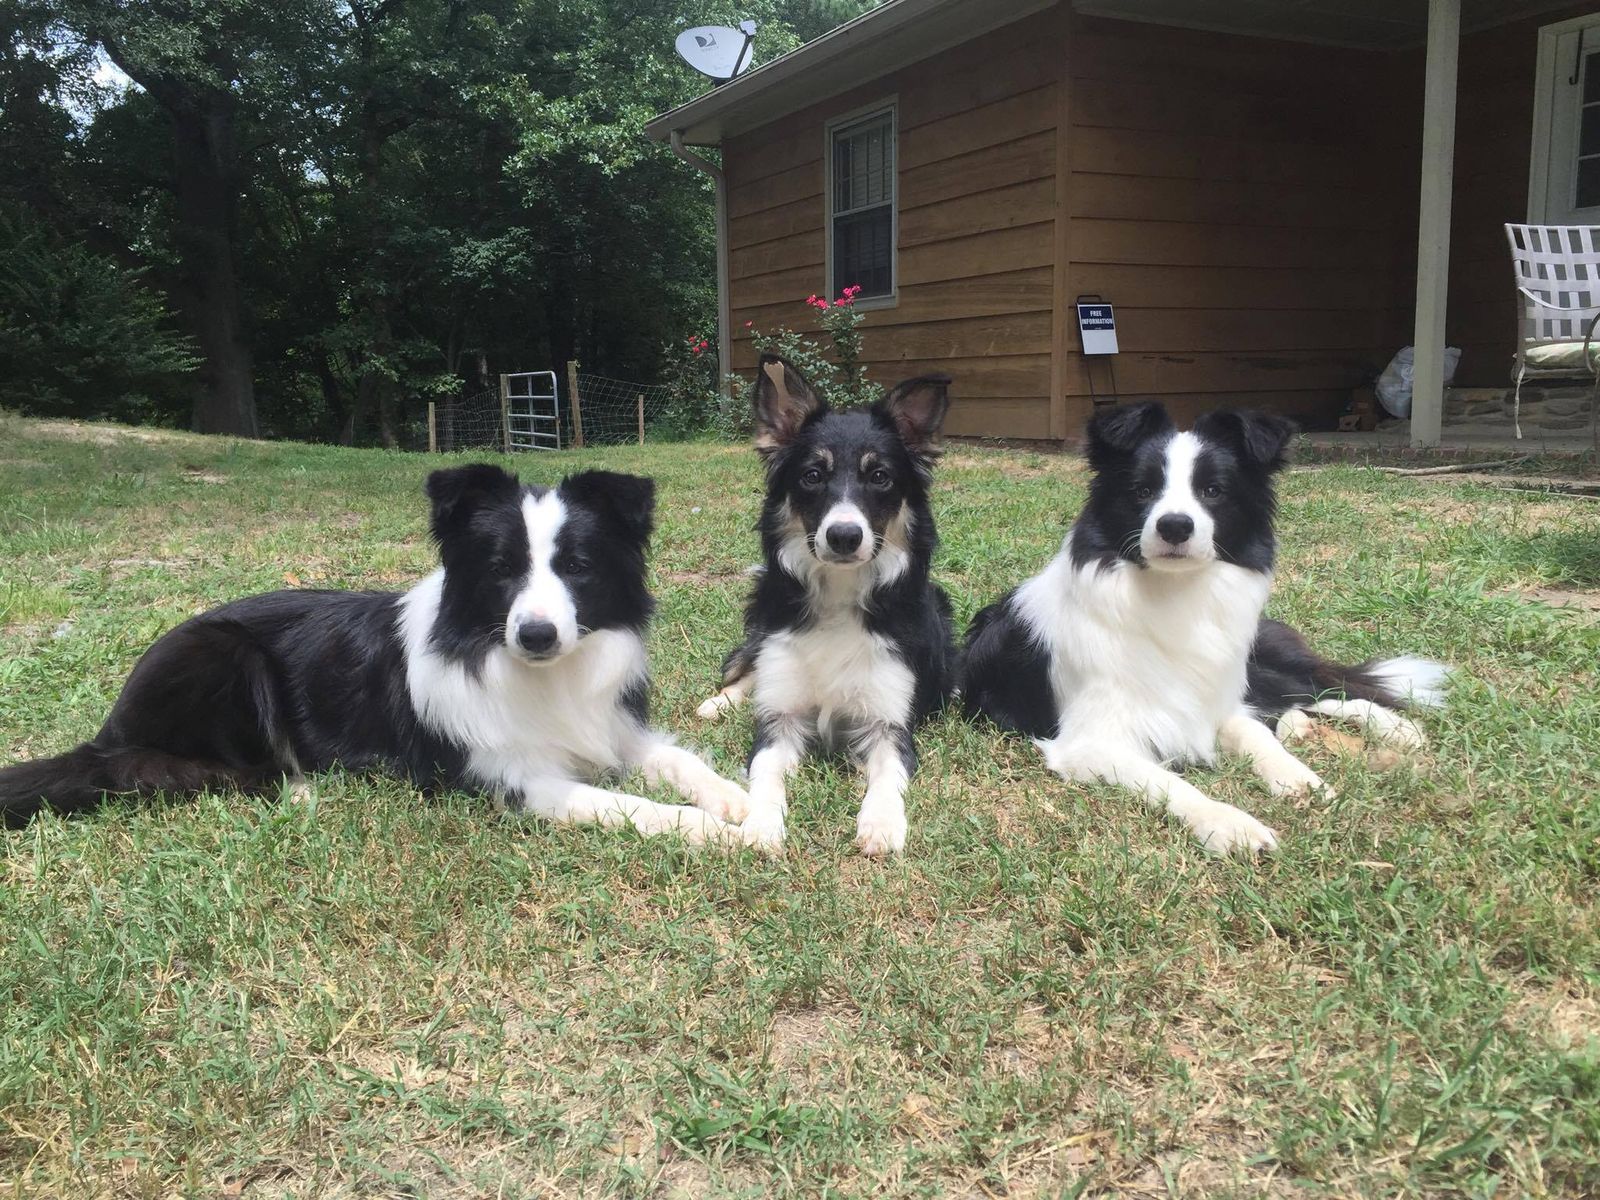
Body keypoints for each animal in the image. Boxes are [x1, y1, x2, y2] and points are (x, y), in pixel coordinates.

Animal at [0, 465, 753, 842]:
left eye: (578, 567)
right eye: (502, 570)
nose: (537, 635)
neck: (539, 674)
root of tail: (111, 726)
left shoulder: (611, 726)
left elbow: (678, 760)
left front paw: (738, 802)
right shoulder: (510, 777)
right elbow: (625, 805)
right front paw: (715, 830)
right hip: (225, 656)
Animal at [696, 354, 958, 856]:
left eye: (880, 477)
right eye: (812, 476)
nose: (843, 536)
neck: (839, 595)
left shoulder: (888, 724)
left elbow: (887, 776)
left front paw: (881, 824)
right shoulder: (779, 719)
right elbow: (765, 773)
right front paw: (762, 824)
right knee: (749, 670)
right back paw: (718, 703)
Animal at [960, 401, 1449, 855]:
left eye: (1213, 491)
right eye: (1143, 490)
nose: (1175, 526)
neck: (1173, 594)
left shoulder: (1217, 699)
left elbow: (1257, 737)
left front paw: (1301, 780)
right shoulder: (1088, 742)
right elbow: (1171, 781)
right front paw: (1231, 824)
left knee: (1319, 689)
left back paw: (1396, 728)